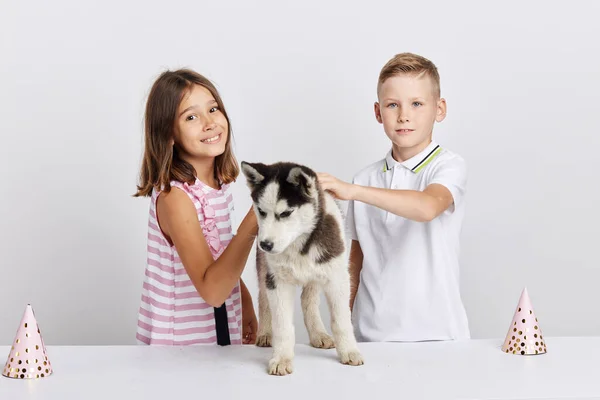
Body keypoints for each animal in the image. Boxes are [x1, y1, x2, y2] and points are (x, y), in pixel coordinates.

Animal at [240, 162, 364, 376]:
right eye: (261, 211)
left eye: (286, 213)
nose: (265, 245)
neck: (298, 244)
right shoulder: (277, 281)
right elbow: (282, 324)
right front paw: (282, 358)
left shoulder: (337, 277)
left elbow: (341, 320)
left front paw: (349, 351)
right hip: (264, 268)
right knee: (263, 299)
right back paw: (265, 333)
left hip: (316, 274)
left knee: (308, 300)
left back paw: (318, 333)